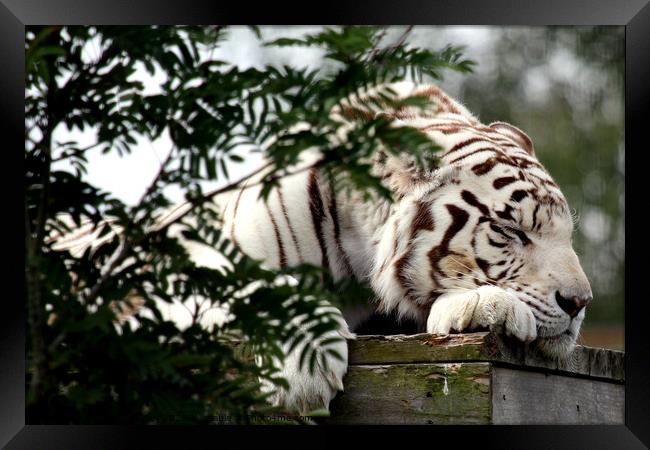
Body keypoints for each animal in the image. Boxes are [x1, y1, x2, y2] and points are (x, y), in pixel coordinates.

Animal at [49, 81, 592, 414]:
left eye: (564, 234)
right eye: (512, 230)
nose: (580, 302)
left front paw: (482, 305)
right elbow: (267, 288)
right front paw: (303, 376)